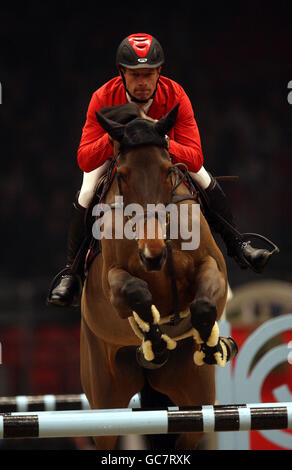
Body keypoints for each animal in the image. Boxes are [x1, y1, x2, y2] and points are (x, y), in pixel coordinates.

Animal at [79, 102, 237, 448]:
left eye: (167, 171)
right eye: (122, 176)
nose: (152, 254)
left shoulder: (213, 268)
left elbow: (204, 304)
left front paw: (210, 344)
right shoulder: (112, 282)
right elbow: (135, 293)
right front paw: (154, 341)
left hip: (194, 396)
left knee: (189, 431)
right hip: (104, 402)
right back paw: (150, 352)